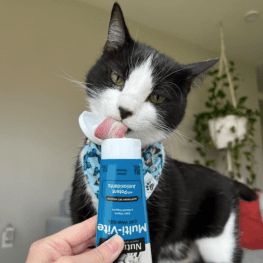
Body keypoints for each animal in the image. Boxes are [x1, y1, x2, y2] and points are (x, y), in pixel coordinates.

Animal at [70, 3, 258, 262]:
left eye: (157, 97)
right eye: (117, 78)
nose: (125, 109)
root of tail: (229, 181)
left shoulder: (158, 219)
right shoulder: (79, 207)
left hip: (220, 236)